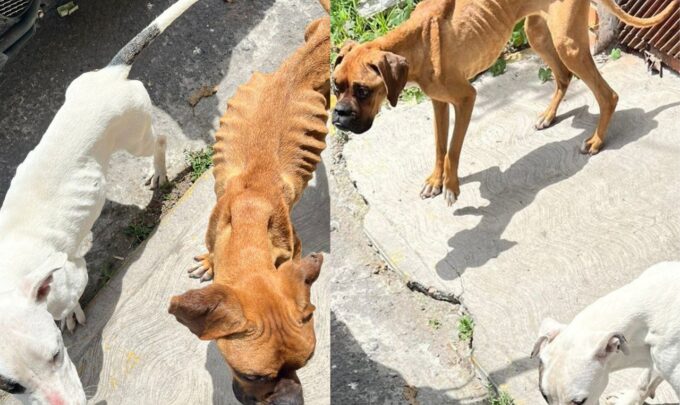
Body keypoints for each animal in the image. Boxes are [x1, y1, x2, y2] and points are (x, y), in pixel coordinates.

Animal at [0, 0, 199, 400]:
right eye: (10, 387)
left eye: (57, 354)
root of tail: (112, 75)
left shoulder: (72, 274)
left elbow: (66, 300)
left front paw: (71, 313)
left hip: (134, 133)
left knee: (158, 141)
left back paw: (158, 170)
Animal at [330, 0, 676, 205]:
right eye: (336, 85)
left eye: (363, 90)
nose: (337, 117)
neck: (417, 42)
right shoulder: (439, 104)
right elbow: (440, 146)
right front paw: (435, 180)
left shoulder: (466, 99)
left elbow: (453, 149)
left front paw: (452, 186)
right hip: (538, 33)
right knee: (563, 77)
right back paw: (548, 116)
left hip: (568, 44)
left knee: (607, 94)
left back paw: (596, 141)